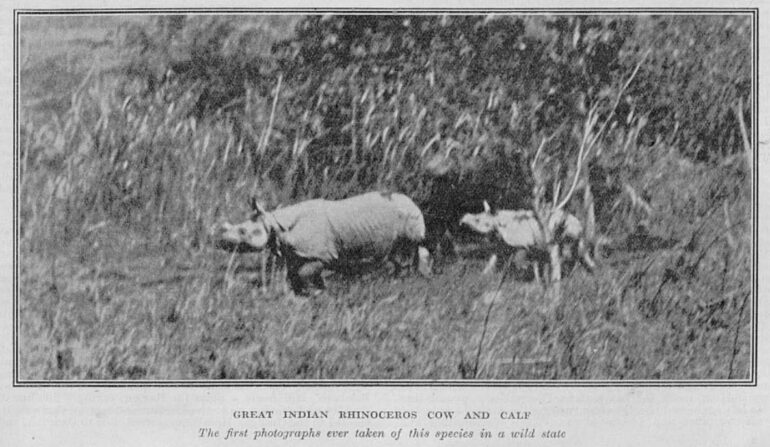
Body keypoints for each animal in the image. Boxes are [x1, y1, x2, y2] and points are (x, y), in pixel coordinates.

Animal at [212, 191, 431, 294]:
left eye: (243, 232)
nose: (220, 242)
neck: (274, 223)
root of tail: (413, 201)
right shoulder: (292, 251)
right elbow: (291, 272)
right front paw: (306, 291)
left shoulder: (320, 254)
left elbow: (304, 272)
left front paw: (314, 291)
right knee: (397, 252)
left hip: (410, 217)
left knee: (411, 246)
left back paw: (410, 279)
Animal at [459, 201, 595, 280]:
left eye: (478, 220)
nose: (462, 220)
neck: (498, 221)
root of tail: (579, 224)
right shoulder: (507, 243)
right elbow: (493, 257)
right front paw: (482, 275)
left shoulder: (522, 243)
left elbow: (521, 261)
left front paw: (522, 276)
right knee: (576, 251)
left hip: (566, 229)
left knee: (566, 251)